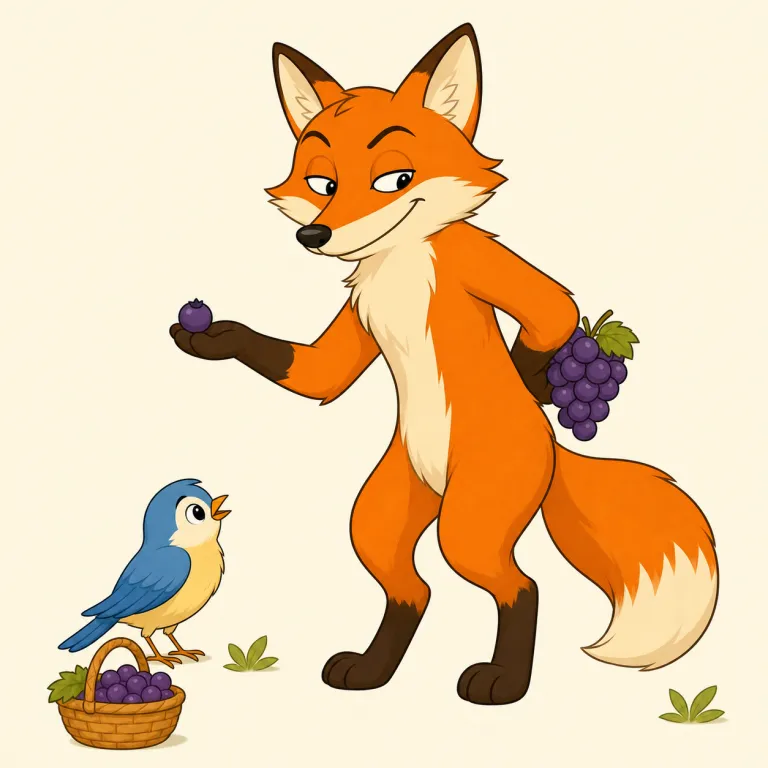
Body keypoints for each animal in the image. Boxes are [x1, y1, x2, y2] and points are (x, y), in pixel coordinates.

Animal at [170, 23, 718, 705]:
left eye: (395, 178)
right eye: (323, 184)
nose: (314, 236)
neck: (402, 257)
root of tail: (551, 451)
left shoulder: (483, 264)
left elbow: (553, 310)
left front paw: (537, 380)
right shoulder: (354, 324)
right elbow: (318, 373)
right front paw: (209, 337)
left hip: (471, 518)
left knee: (519, 585)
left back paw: (503, 681)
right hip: (382, 512)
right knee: (412, 587)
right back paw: (371, 671)